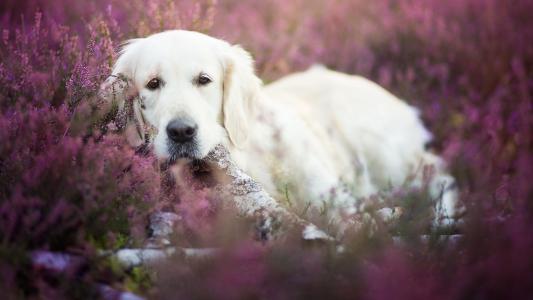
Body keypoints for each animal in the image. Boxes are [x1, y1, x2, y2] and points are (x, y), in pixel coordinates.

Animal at [103, 29, 458, 227]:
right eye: (152, 83)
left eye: (204, 80)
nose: (181, 132)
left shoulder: (327, 190)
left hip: (379, 151)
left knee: (439, 173)